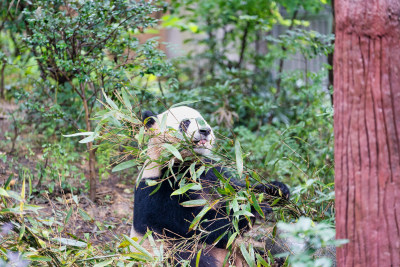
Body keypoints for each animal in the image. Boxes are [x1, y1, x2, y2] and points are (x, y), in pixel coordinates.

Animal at [131, 105, 290, 266]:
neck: (185, 165)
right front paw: (252, 208)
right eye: (185, 122)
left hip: (243, 252)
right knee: (187, 256)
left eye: (202, 120)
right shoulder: (159, 190)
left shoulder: (211, 172)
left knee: (262, 255)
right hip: (163, 251)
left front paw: (276, 190)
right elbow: (201, 225)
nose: (205, 131)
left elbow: (236, 189)